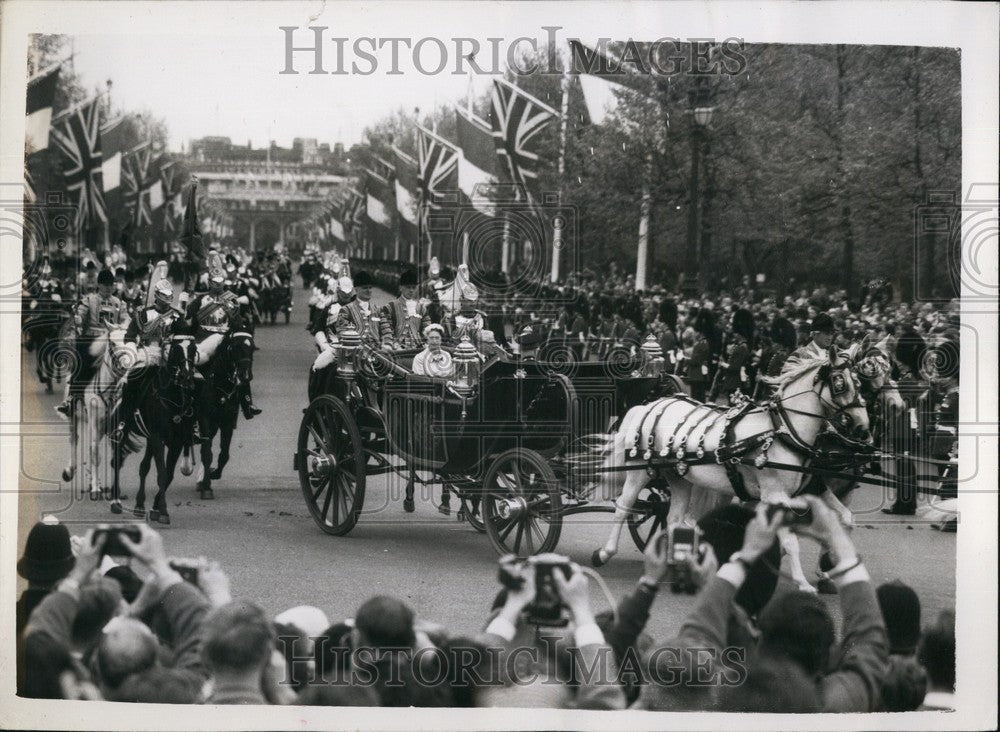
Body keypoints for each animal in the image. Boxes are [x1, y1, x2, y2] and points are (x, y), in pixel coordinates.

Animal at [109, 334, 199, 524]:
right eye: (176, 349)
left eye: (193, 349)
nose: (187, 378)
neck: (172, 398)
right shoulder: (158, 438)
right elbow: (162, 474)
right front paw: (163, 511)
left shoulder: (176, 442)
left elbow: (168, 474)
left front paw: (156, 508)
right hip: (125, 432)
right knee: (117, 461)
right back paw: (115, 502)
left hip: (150, 438)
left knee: (143, 467)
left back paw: (139, 505)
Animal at [192, 330, 254, 498]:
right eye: (236, 347)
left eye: (252, 348)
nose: (246, 376)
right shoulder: (205, 419)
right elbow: (207, 453)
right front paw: (207, 487)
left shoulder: (227, 422)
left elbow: (224, 454)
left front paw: (212, 475)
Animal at [592, 346, 868, 592]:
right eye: (840, 383)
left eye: (859, 382)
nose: (863, 428)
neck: (783, 431)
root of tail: (650, 405)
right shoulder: (775, 496)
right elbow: (790, 541)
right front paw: (803, 582)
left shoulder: (810, 488)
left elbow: (844, 519)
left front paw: (828, 565)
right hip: (639, 471)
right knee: (624, 508)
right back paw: (604, 553)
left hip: (679, 476)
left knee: (673, 519)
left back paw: (677, 563)